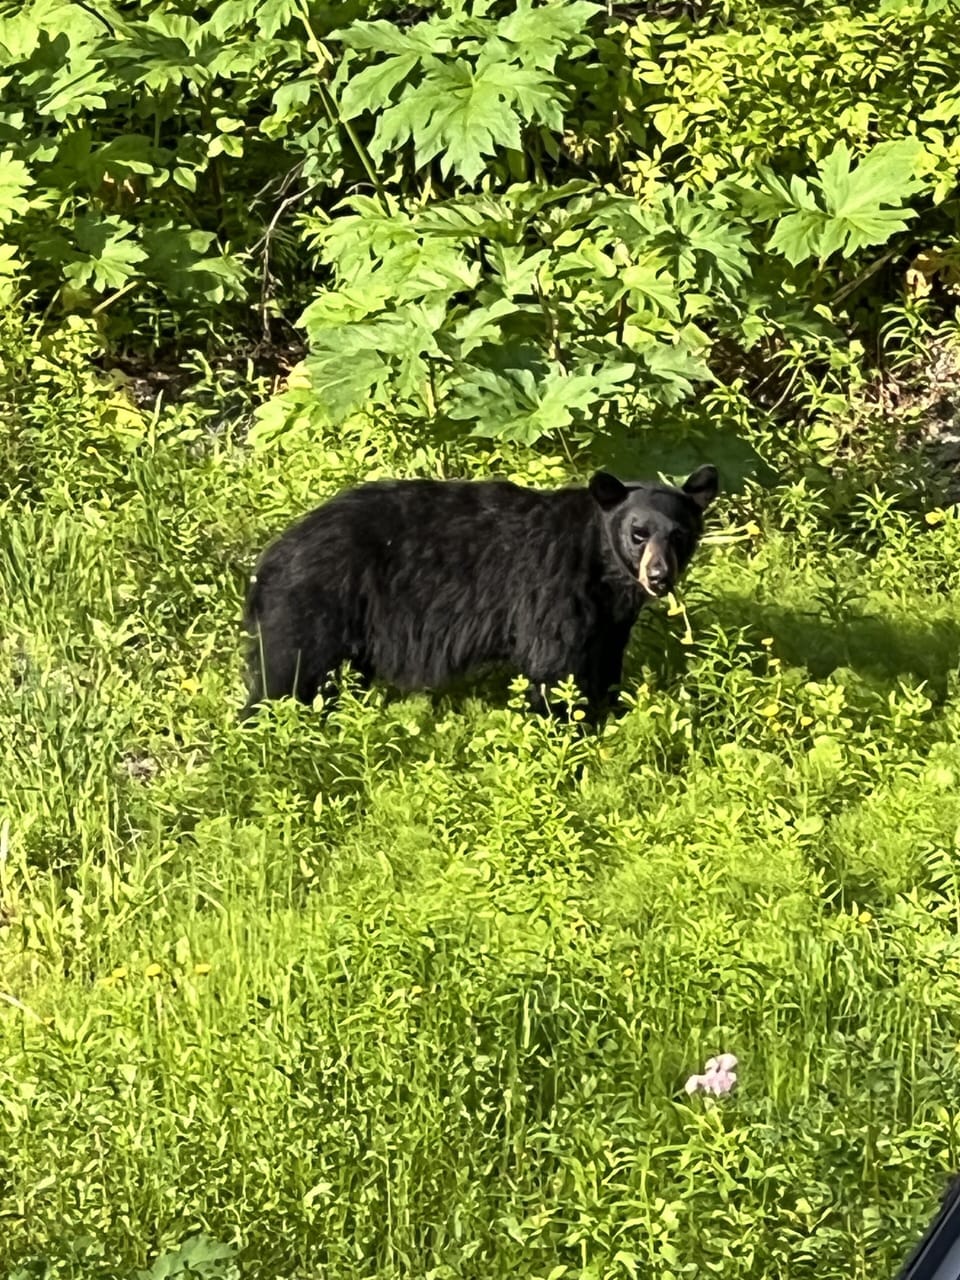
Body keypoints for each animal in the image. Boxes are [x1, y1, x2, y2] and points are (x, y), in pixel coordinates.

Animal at [240, 465, 718, 723]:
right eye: (638, 533)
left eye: (679, 534)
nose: (658, 577)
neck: (602, 567)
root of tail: (269, 559)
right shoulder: (555, 591)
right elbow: (555, 668)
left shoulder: (609, 619)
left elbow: (604, 664)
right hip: (311, 604)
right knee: (282, 675)